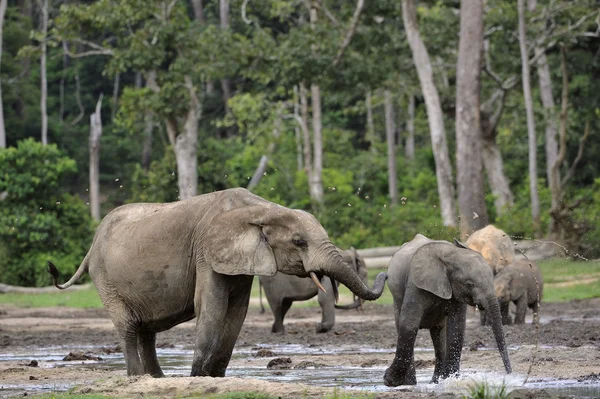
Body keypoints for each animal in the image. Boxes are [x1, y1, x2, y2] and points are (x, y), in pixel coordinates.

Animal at [45, 189, 384, 380]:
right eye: (299, 242)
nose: (383, 275)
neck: (261, 208)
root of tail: (90, 247)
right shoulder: (206, 252)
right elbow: (212, 306)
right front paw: (198, 378)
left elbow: (236, 312)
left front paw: (215, 378)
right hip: (106, 279)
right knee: (128, 326)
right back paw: (137, 378)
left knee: (146, 329)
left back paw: (157, 379)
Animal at [384, 234, 510, 388]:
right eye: (470, 284)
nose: (509, 373)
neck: (451, 255)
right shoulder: (415, 283)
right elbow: (409, 324)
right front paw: (389, 380)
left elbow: (456, 326)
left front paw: (450, 379)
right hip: (397, 299)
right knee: (403, 325)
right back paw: (410, 383)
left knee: (438, 335)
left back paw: (436, 381)